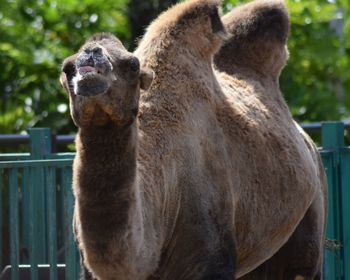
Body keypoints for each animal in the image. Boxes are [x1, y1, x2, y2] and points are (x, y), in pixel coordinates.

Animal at [59, 0, 326, 280]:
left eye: (132, 65)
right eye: (67, 68)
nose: (90, 58)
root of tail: (308, 142)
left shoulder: (211, 256)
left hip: (313, 214)